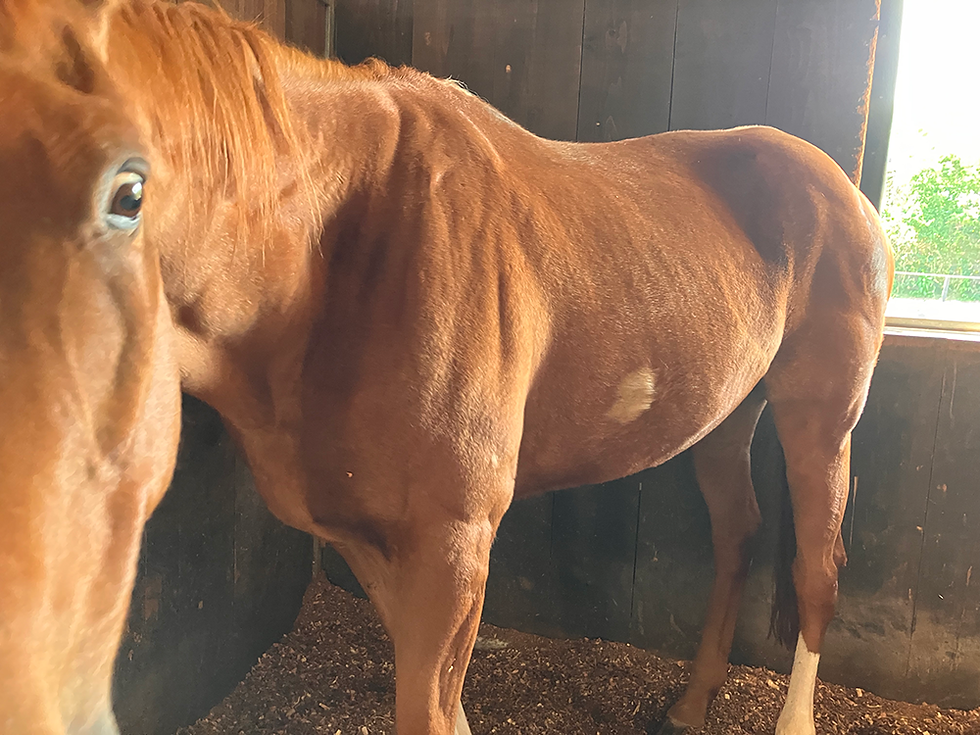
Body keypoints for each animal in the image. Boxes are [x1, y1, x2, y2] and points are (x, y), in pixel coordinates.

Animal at [0, 1, 894, 733]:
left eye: (127, 193)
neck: (343, 252)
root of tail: (840, 186)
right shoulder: (369, 538)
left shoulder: (454, 542)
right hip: (727, 415)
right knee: (737, 533)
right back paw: (691, 701)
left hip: (822, 417)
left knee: (818, 568)